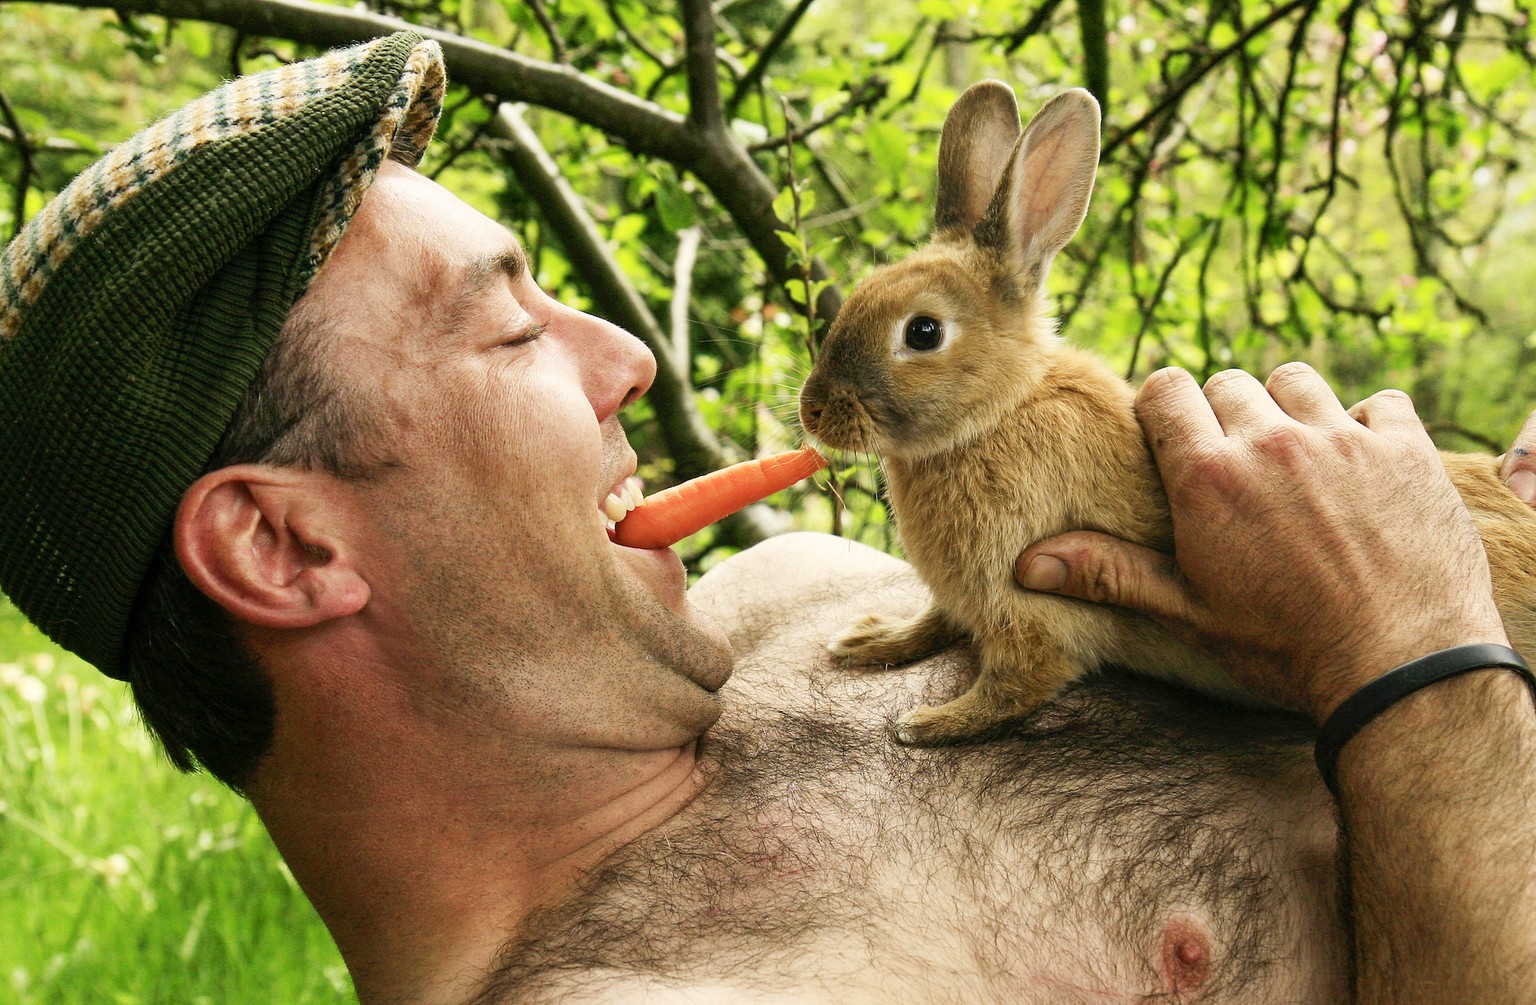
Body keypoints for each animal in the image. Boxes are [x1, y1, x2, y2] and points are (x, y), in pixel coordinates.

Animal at [804, 80, 1536, 746]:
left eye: (923, 333)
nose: (812, 412)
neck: (1001, 409)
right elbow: (936, 619)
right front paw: (869, 641)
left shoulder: (1028, 607)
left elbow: (1016, 683)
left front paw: (927, 724)